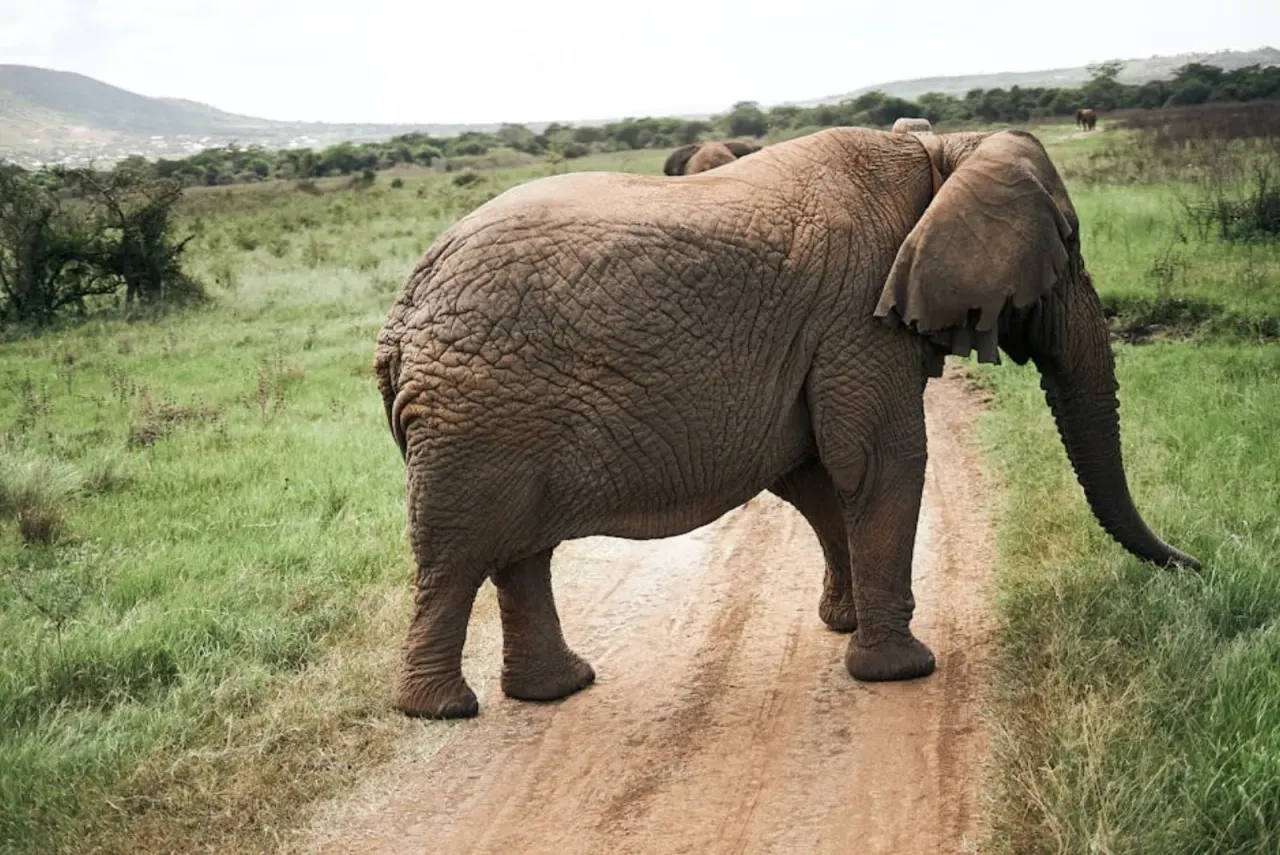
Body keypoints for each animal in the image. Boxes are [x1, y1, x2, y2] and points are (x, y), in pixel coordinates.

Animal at [375, 126, 1200, 719]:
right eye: (1070, 244)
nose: (1197, 566)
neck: (940, 154)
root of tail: (401, 313)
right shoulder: (857, 315)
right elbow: (881, 460)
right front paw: (900, 671)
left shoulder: (822, 337)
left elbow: (815, 474)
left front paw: (844, 626)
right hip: (476, 412)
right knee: (458, 554)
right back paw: (441, 711)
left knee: (520, 552)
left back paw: (557, 690)